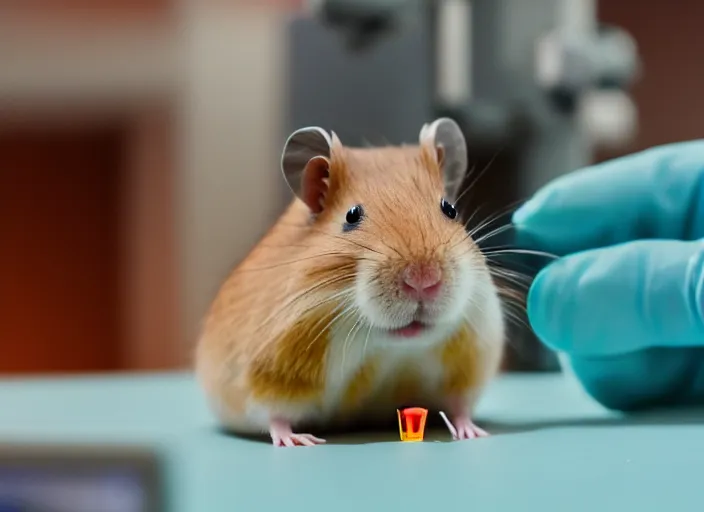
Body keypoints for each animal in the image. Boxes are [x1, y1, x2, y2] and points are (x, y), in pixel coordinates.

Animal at [197, 118, 506, 446]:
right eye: (352, 215)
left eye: (449, 209)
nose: (424, 280)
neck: (385, 343)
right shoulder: (266, 372)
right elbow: (274, 415)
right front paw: (301, 441)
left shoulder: (469, 359)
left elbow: (460, 406)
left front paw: (474, 433)